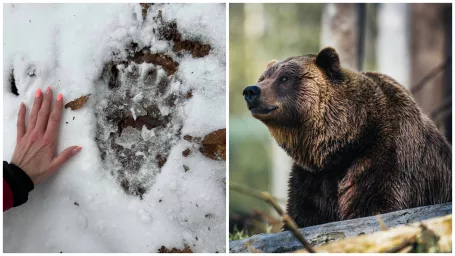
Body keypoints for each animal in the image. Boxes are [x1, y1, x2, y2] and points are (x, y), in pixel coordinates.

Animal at [244, 47, 450, 227]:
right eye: (263, 77)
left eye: (284, 78)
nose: (251, 91)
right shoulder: (313, 177)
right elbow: (304, 213)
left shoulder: (387, 154)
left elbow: (376, 203)